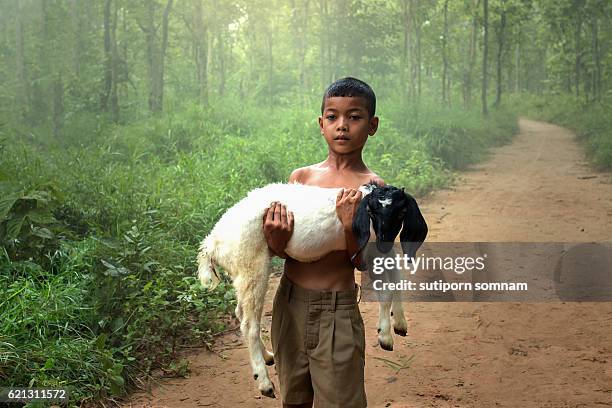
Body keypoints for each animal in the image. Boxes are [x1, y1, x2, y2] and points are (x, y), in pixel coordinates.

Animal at [198, 182, 428, 398]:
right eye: (372, 212)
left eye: (401, 212)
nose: (383, 241)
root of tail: (213, 243)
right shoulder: (368, 252)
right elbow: (386, 292)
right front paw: (385, 336)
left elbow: (397, 281)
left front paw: (400, 323)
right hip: (252, 264)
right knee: (249, 324)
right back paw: (263, 382)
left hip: (243, 272)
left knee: (241, 312)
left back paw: (268, 356)